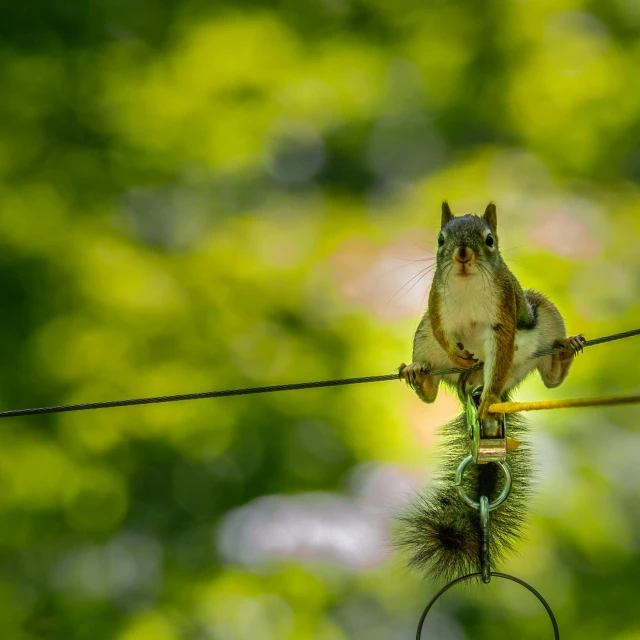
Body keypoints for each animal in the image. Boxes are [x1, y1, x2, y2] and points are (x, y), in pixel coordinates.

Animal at [396, 202, 584, 584]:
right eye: (441, 239)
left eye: (489, 240)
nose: (462, 255)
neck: (468, 285)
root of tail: (469, 384)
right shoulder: (435, 307)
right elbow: (443, 332)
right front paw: (453, 355)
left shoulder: (504, 315)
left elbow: (501, 348)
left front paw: (487, 403)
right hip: (423, 339)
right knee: (430, 390)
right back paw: (418, 374)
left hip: (542, 319)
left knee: (548, 377)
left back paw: (562, 353)